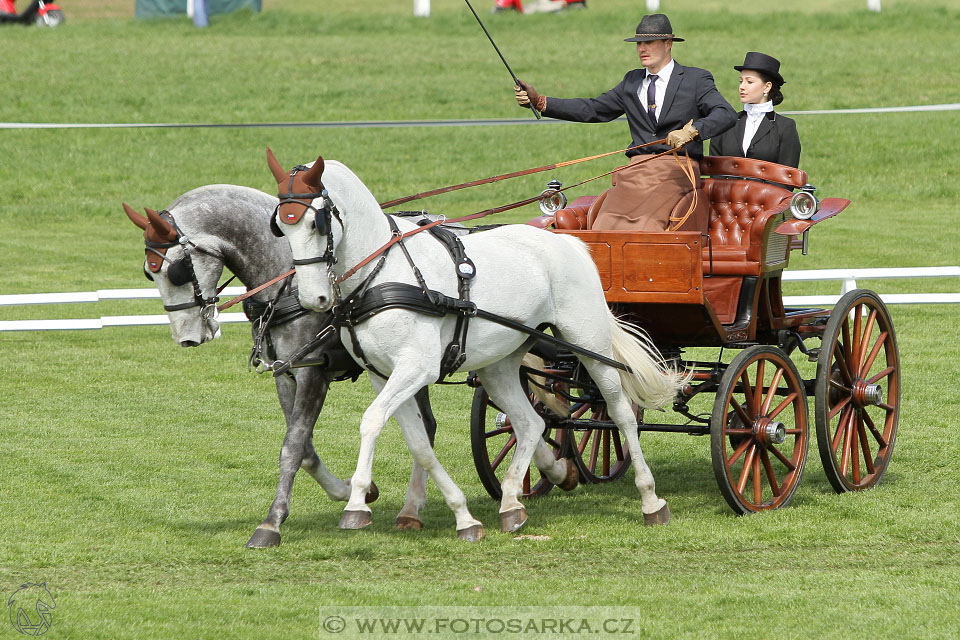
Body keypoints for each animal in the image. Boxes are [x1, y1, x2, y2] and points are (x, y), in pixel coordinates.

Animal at [266, 150, 688, 540]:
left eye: (316, 222)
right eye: (281, 227)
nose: (314, 299)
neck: (383, 272)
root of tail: (566, 241)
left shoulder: (416, 368)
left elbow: (371, 421)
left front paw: (356, 504)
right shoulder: (382, 375)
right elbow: (417, 442)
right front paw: (459, 515)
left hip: (590, 344)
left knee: (619, 413)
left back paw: (651, 500)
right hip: (500, 363)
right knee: (530, 422)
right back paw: (512, 504)